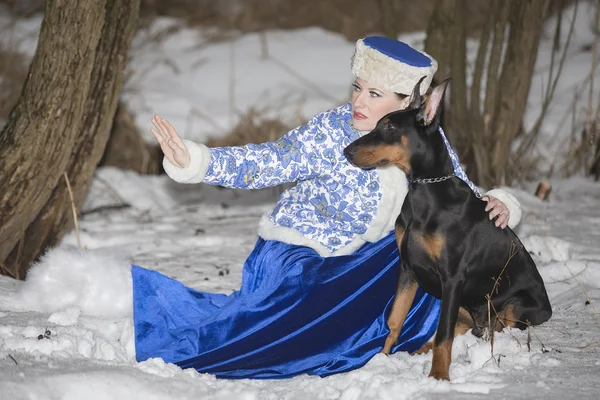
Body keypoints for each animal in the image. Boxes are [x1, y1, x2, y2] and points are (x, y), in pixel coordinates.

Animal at [344, 76, 552, 380]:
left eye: (390, 127)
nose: (346, 152)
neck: (426, 190)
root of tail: (549, 308)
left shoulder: (452, 277)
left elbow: (444, 333)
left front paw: (439, 377)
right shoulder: (407, 269)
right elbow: (395, 320)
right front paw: (381, 359)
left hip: (515, 304)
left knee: (496, 326)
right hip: (465, 304)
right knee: (466, 325)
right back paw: (420, 350)